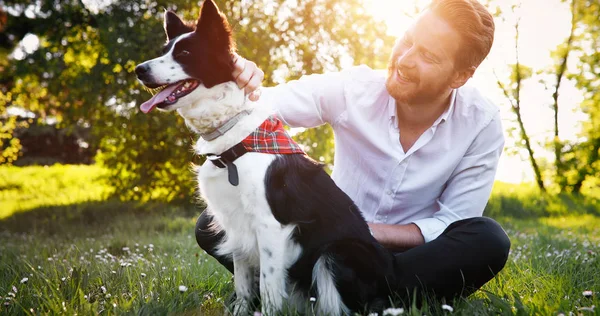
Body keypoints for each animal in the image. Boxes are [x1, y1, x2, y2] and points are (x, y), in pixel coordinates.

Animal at [136, 1, 398, 314]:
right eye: (165, 50)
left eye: (185, 54)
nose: (138, 69)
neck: (234, 140)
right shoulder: (235, 225)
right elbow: (243, 284)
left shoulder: (270, 226)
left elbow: (269, 286)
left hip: (336, 253)